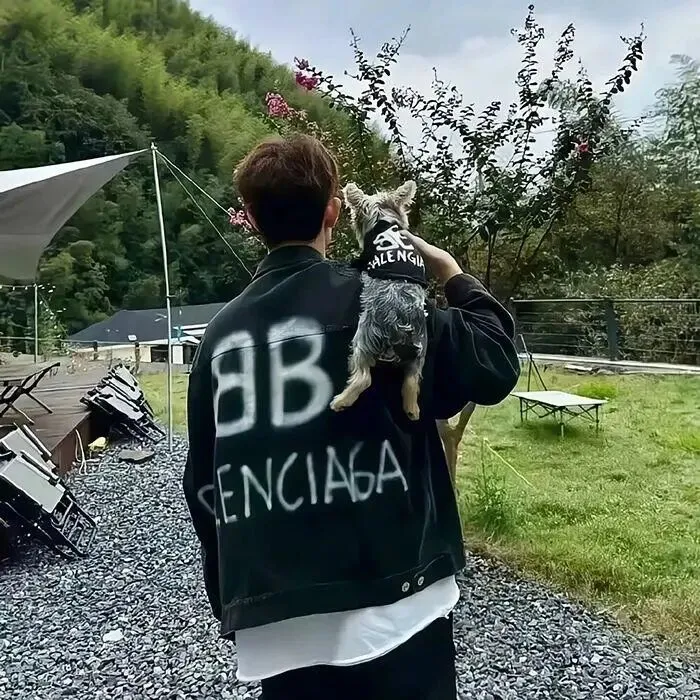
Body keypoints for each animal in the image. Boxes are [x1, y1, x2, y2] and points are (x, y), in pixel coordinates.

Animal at [330, 180, 428, 421]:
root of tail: (401, 327)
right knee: (412, 380)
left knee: (364, 377)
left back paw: (341, 401)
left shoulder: (362, 259)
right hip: (420, 350)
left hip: (364, 337)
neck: (384, 220)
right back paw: (412, 410)